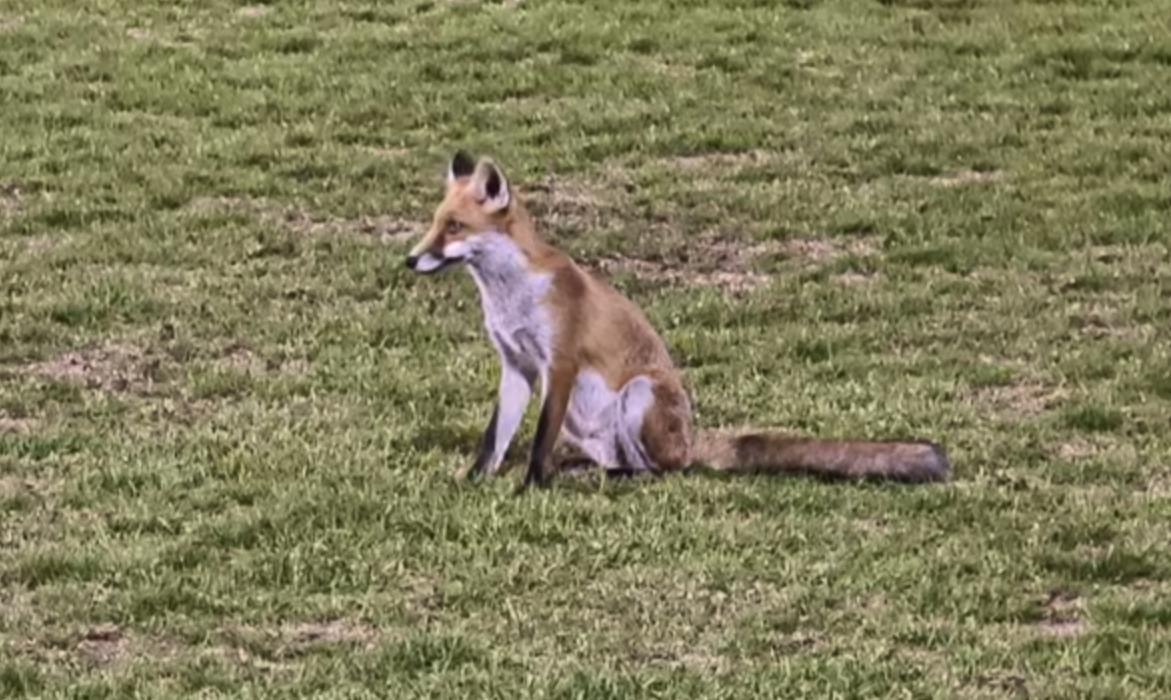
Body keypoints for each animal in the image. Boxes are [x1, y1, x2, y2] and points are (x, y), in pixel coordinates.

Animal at [405, 151, 951, 489]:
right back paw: (593, 472)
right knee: (623, 461)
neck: (510, 294)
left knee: (664, 471)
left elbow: (539, 440)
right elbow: (493, 440)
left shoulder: (558, 363)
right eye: (434, 223)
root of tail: (691, 442)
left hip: (639, 393)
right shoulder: (515, 365)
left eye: (454, 227)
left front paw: (531, 487)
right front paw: (474, 481)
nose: (409, 260)